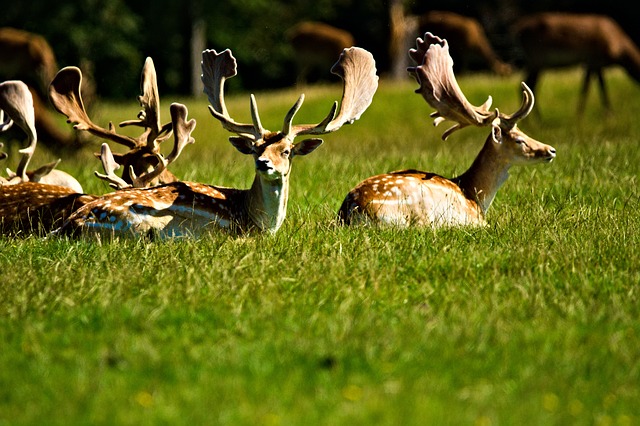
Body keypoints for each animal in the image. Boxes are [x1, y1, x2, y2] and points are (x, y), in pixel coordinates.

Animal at [53, 47, 380, 240]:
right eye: (256, 149)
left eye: (286, 151)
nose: (264, 163)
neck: (259, 223)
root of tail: (68, 225)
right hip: (141, 226)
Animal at [340, 32, 556, 230]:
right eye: (519, 140)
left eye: (526, 133)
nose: (551, 150)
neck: (475, 196)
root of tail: (350, 212)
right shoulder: (476, 219)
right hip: (419, 211)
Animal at [512, 12, 640, 115]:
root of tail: (517, 28)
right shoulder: (594, 60)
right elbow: (590, 90)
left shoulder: (593, 64)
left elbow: (596, 88)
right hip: (536, 60)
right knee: (529, 85)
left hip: (535, 63)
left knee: (527, 86)